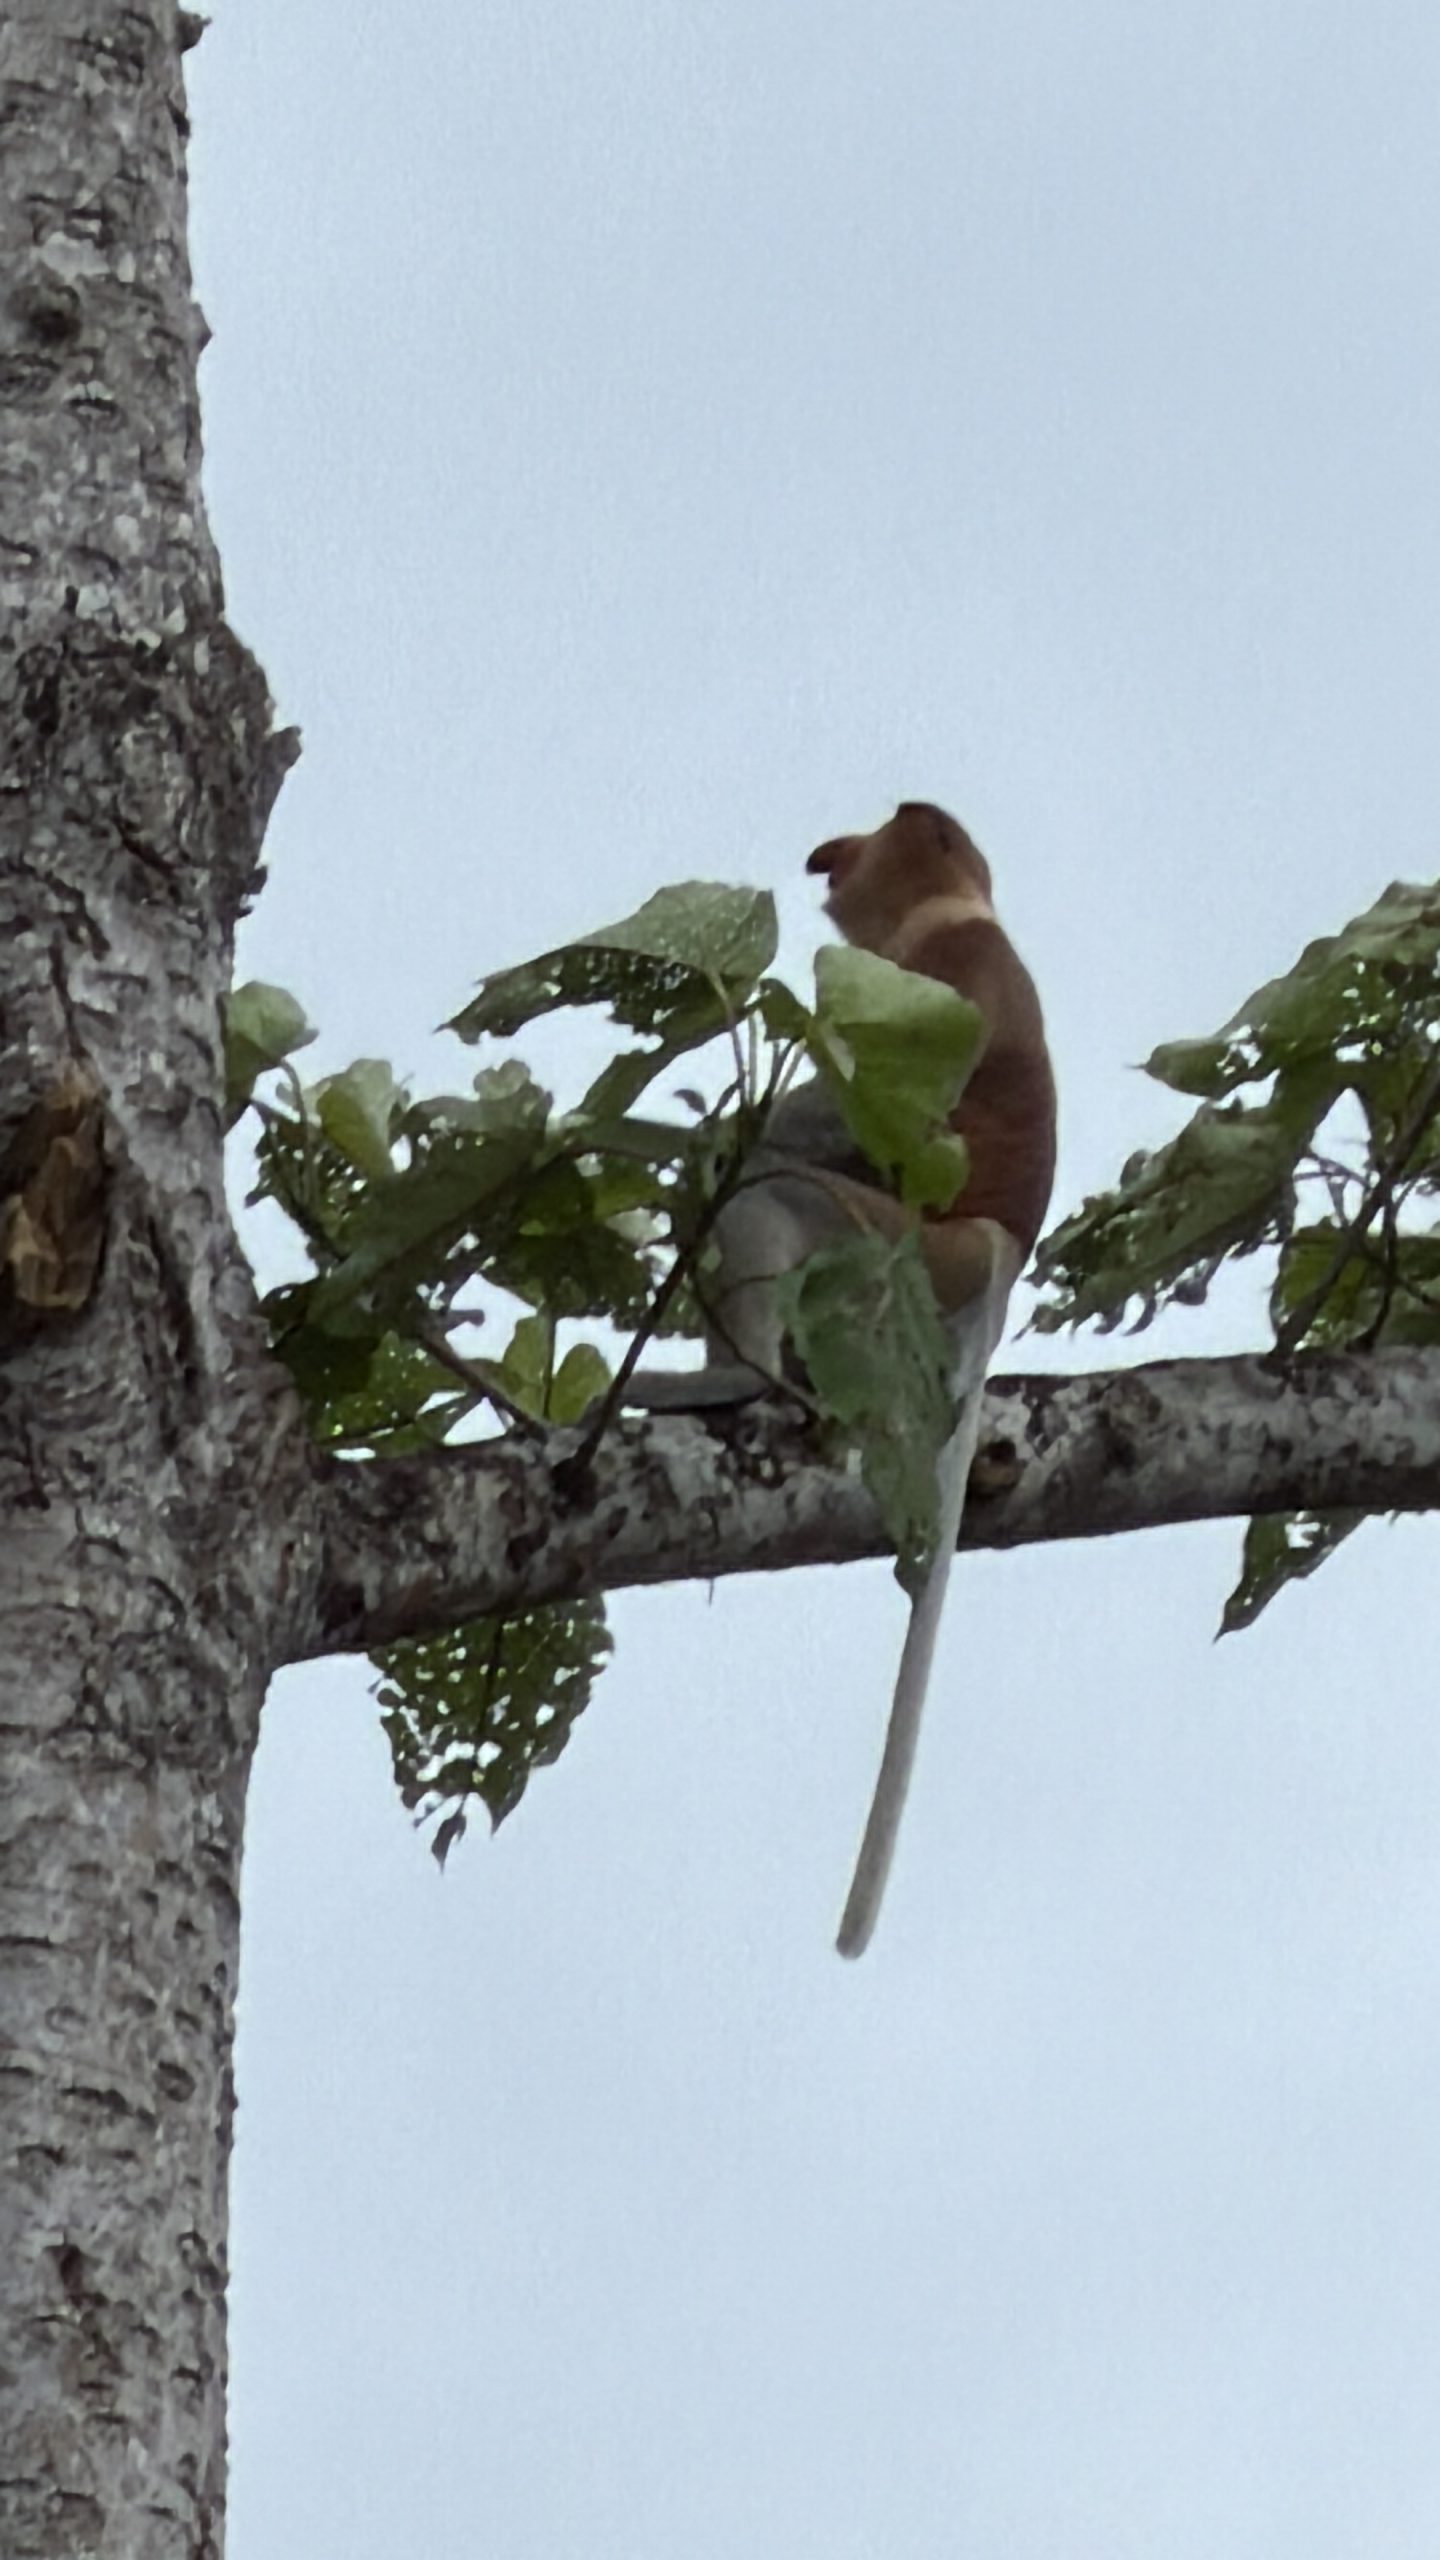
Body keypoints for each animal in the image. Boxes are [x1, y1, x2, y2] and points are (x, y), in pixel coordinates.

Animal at [624, 805, 1056, 1955]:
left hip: (888, 1245)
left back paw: (730, 1386)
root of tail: (997, 1256)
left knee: (768, 1193)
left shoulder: (933, 983)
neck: (959, 906)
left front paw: (699, 1132)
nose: (832, 851)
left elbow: (873, 1107)